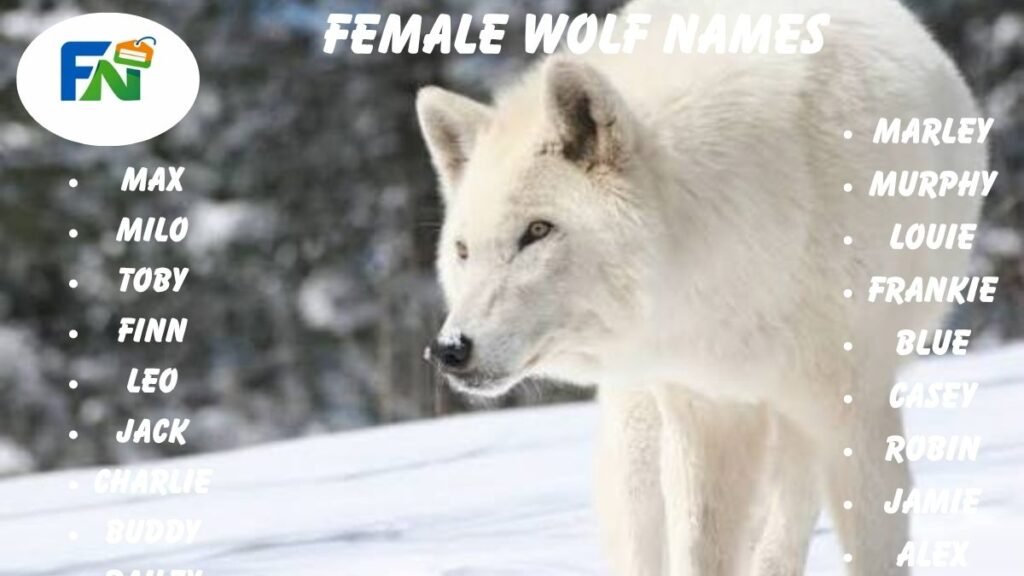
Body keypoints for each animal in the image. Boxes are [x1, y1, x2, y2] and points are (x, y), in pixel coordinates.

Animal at [416, 0, 986, 574]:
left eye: (537, 231)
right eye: (463, 251)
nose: (450, 349)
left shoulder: (853, 407)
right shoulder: (705, 408)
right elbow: (700, 550)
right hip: (642, 430)